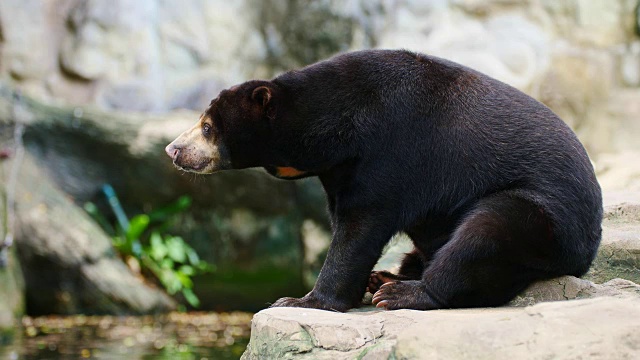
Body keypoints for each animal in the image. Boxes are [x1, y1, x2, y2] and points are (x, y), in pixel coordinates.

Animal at [166, 49, 604, 310]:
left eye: (207, 127)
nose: (172, 149)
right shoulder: (339, 170)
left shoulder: (391, 150)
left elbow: (360, 227)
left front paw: (297, 300)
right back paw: (388, 275)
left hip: (541, 218)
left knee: (484, 235)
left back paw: (399, 292)